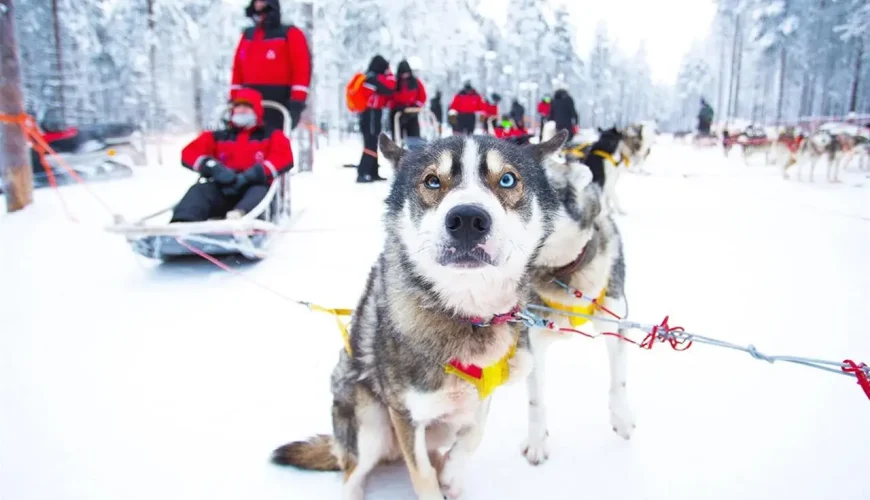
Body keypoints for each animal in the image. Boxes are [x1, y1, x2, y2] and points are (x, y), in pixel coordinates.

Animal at [276, 131, 568, 498]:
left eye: (507, 179)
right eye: (431, 180)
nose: (468, 219)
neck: (465, 314)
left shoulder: (480, 397)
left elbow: (473, 434)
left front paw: (453, 475)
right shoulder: (405, 413)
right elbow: (422, 473)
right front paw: (436, 482)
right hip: (368, 420)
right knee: (353, 471)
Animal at [520, 149, 636, 464]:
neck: (564, 276)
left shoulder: (615, 324)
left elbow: (619, 381)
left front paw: (622, 419)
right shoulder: (532, 340)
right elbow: (536, 400)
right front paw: (537, 442)